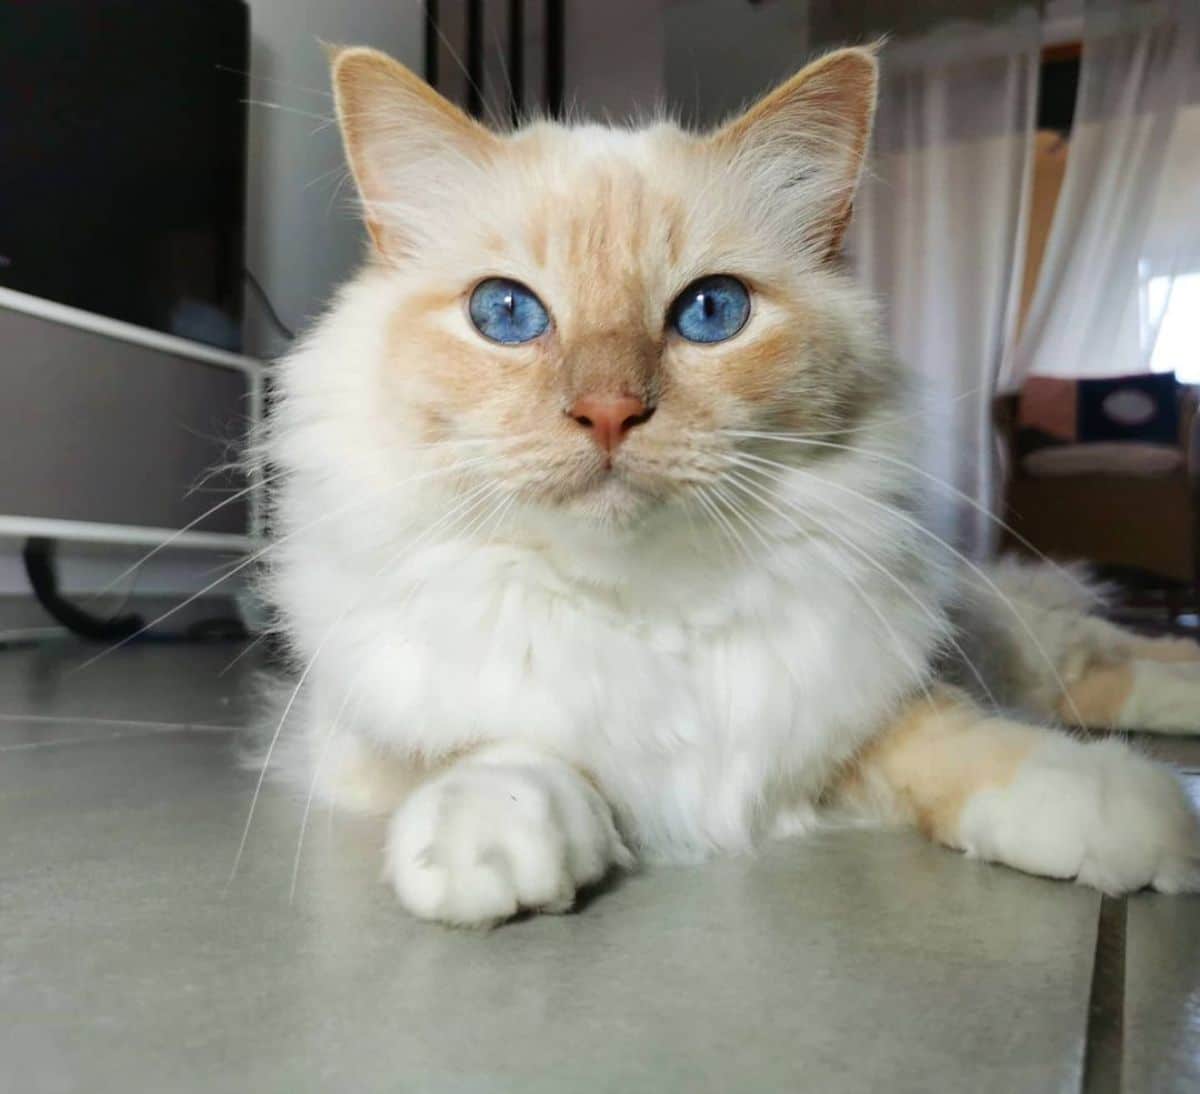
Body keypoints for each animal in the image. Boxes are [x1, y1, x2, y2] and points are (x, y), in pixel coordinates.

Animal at [260, 47, 1200, 926]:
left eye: (712, 312)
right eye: (507, 313)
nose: (609, 412)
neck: (642, 604)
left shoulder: (863, 695)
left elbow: (964, 740)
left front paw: (1123, 817)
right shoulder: (359, 729)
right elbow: (503, 744)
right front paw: (492, 840)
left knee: (1102, 661)